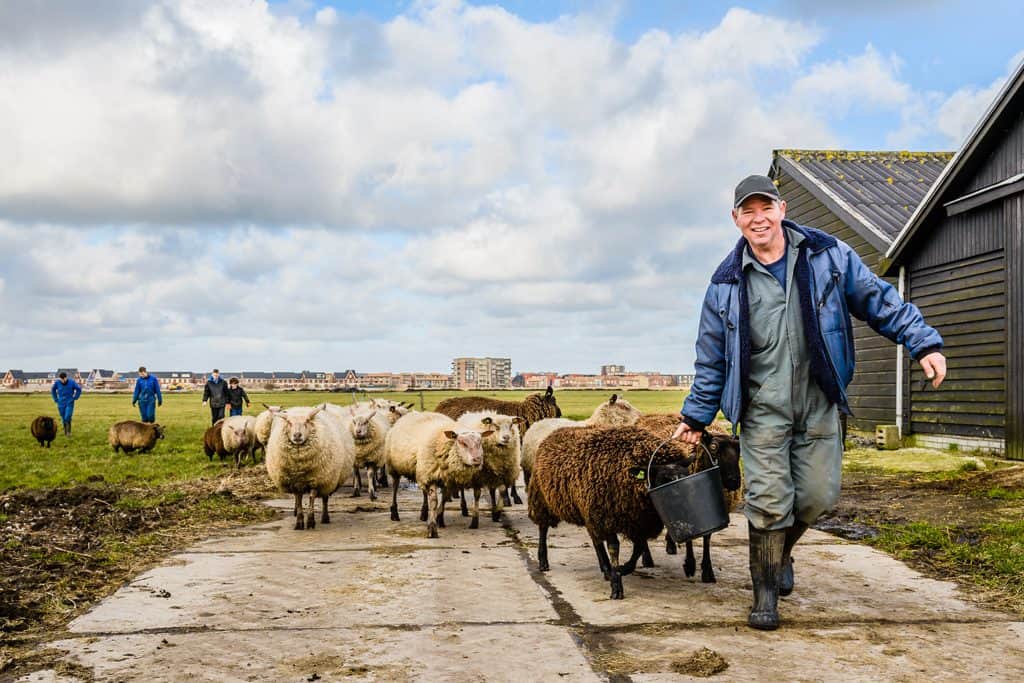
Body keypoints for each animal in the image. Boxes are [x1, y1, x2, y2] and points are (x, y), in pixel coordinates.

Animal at [266, 403, 354, 532]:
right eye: (289, 422)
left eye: (307, 421)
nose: (297, 435)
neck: (300, 466)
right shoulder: (295, 482)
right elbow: (298, 500)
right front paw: (299, 522)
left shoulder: (316, 480)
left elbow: (312, 498)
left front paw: (311, 521)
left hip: (328, 479)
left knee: (325, 499)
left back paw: (325, 517)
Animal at [385, 411, 493, 540]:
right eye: (462, 442)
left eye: (480, 442)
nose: (477, 459)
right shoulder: (431, 476)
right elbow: (434, 502)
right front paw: (432, 528)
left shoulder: (447, 479)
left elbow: (445, 498)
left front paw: (439, 518)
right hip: (395, 467)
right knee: (395, 486)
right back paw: (394, 513)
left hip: (421, 470)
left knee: (424, 492)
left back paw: (424, 513)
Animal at [432, 387, 561, 505]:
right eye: (554, 402)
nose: (560, 415)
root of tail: (439, 405)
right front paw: (508, 498)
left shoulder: (514, 452)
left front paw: (514, 496)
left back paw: (455, 494)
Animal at [528, 423, 696, 602]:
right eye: (664, 479)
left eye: (686, 476)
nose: (687, 503)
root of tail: (555, 432)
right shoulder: (607, 516)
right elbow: (614, 548)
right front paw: (616, 586)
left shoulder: (637, 521)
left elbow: (639, 547)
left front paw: (623, 569)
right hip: (542, 500)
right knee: (543, 528)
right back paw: (543, 561)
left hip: (587, 511)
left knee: (595, 539)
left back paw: (606, 568)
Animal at [634, 413, 741, 585]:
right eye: (713, 448)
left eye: (739, 449)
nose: (734, 481)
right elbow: (690, 536)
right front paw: (690, 565)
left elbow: (706, 537)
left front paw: (707, 571)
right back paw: (647, 558)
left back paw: (670, 545)